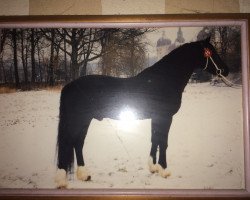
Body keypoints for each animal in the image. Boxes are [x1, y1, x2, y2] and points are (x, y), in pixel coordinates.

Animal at [54, 37, 229, 188]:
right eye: (211, 52)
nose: (226, 70)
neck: (165, 80)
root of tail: (69, 86)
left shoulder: (157, 118)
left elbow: (155, 140)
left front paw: (153, 167)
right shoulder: (165, 117)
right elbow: (163, 142)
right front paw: (164, 170)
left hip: (84, 120)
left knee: (78, 143)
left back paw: (84, 175)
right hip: (78, 119)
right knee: (70, 142)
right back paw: (63, 180)